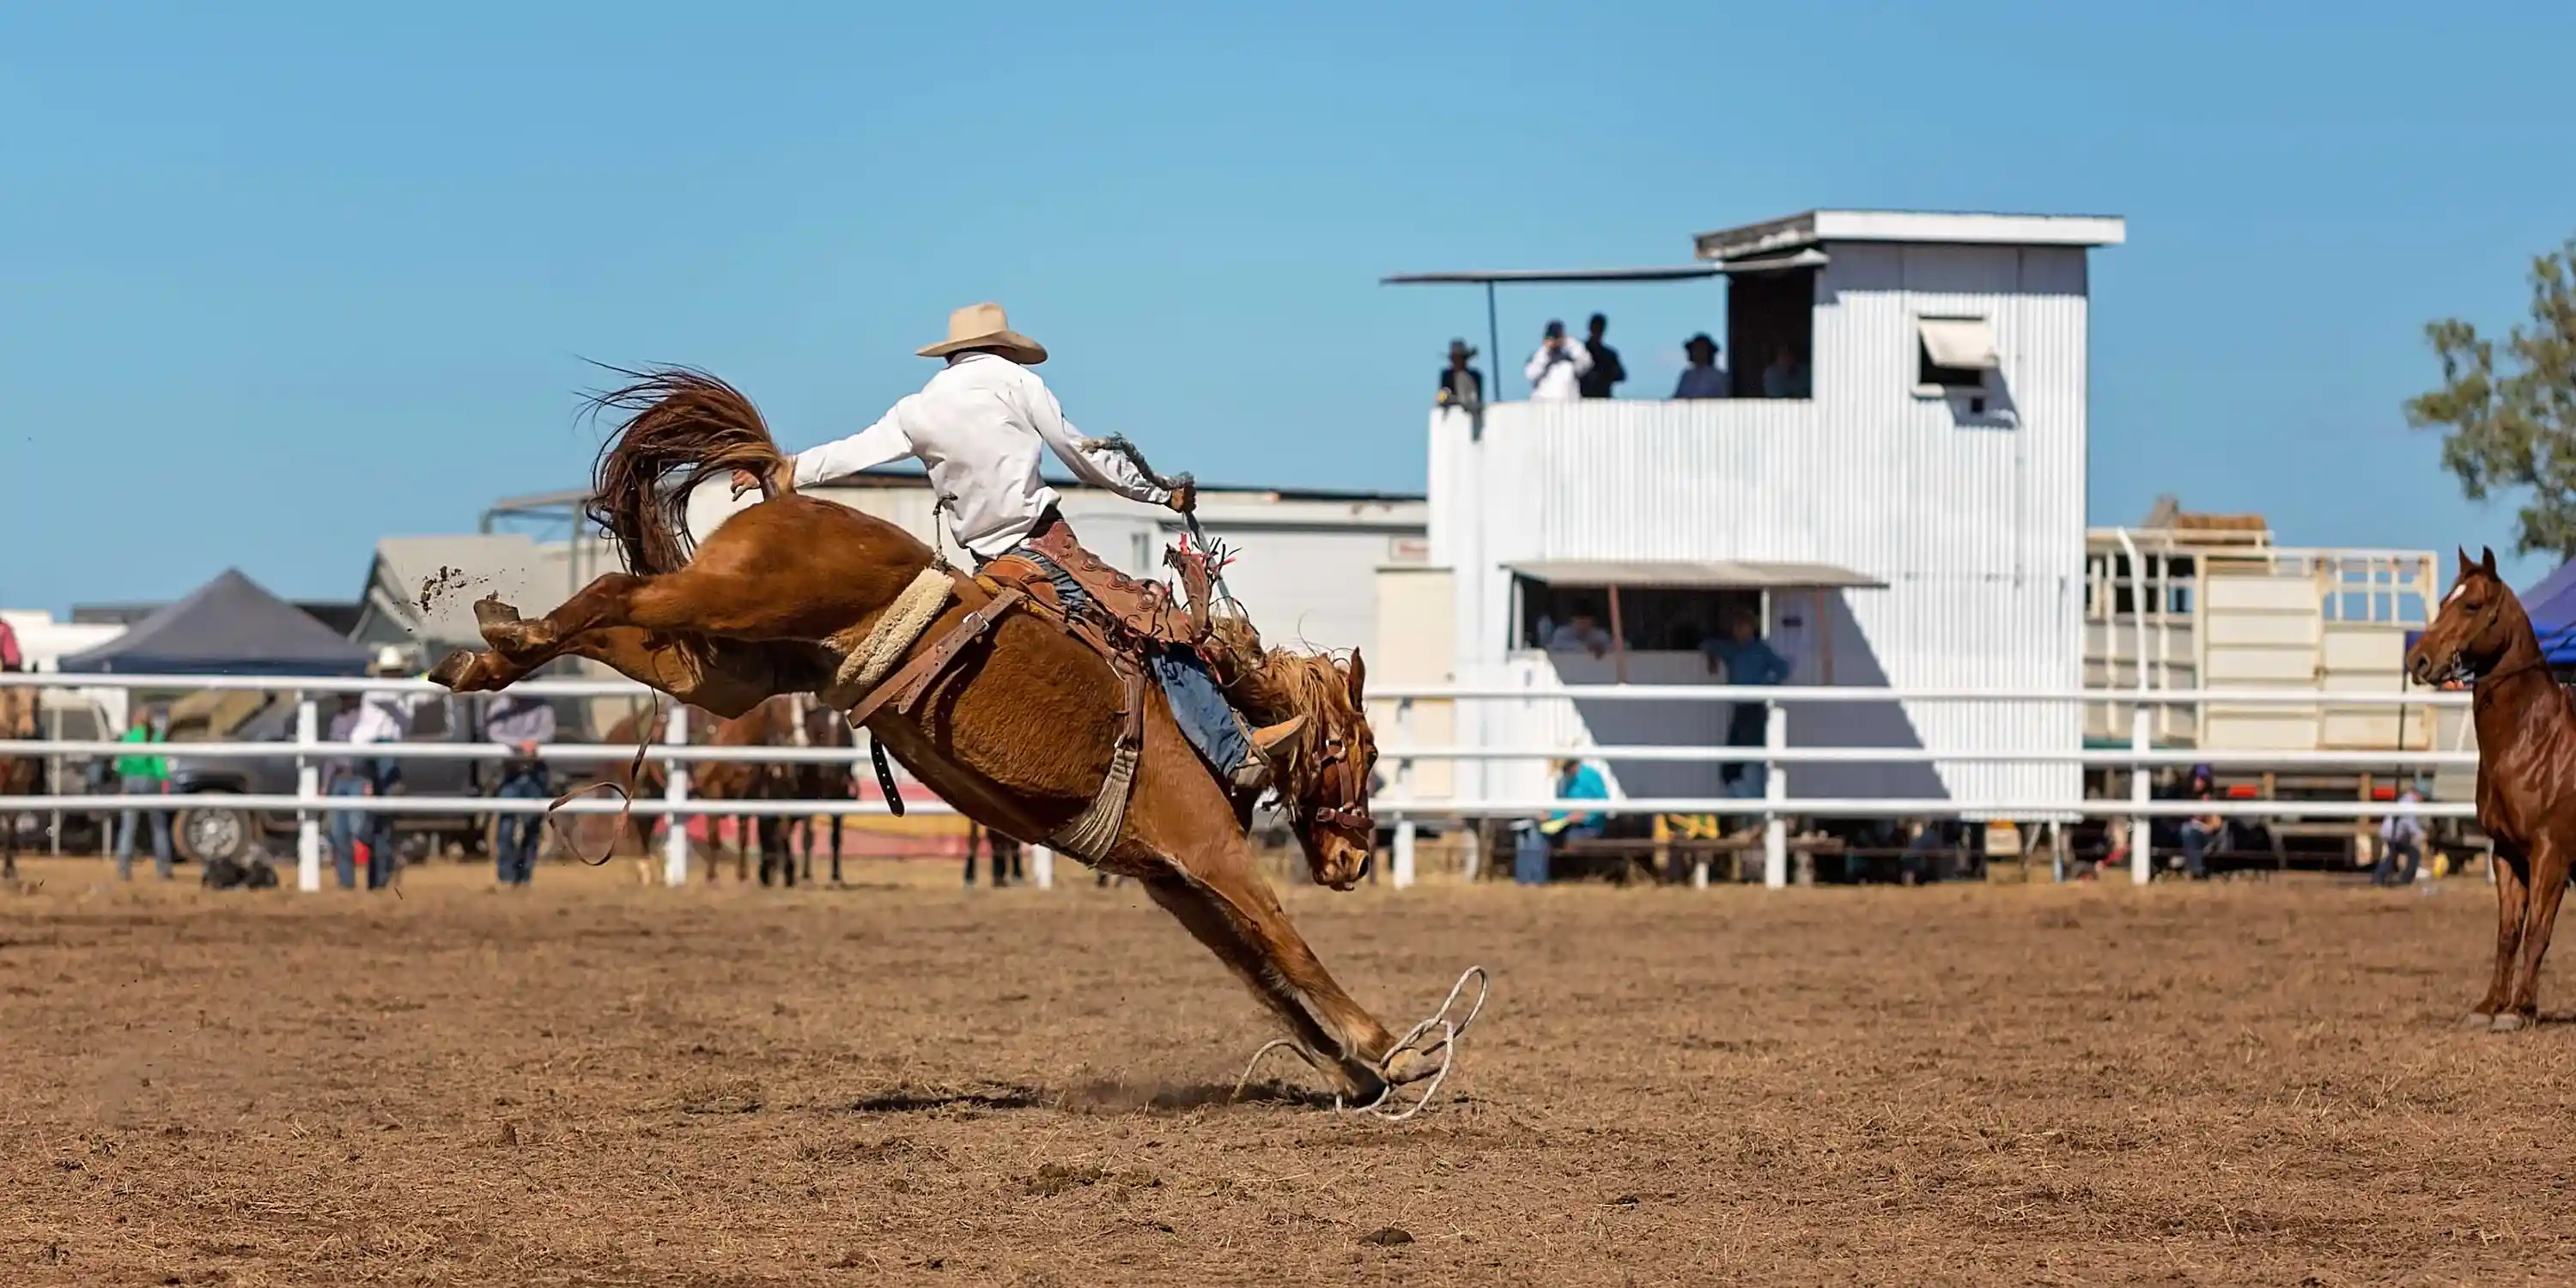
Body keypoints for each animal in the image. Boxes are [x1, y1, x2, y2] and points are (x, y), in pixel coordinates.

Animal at [438, 368, 1453, 1103]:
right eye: (1366, 753)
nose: (1354, 858)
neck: (1223, 707)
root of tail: (781, 495)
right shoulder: (1209, 854)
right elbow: (1288, 946)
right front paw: (1392, 1050)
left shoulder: (1175, 882)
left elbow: (1264, 977)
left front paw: (1353, 1067)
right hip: (735, 604)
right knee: (619, 591)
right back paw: (497, 634)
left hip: (733, 669)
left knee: (635, 634)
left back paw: (486, 650)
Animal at [2391, 549, 2576, 1030]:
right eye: (2443, 601)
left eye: (2472, 605)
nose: (2417, 661)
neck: (2534, 739)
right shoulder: (2508, 853)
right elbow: (2508, 933)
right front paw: (2490, 1006)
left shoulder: (2551, 853)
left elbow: (2538, 931)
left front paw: (2520, 1010)